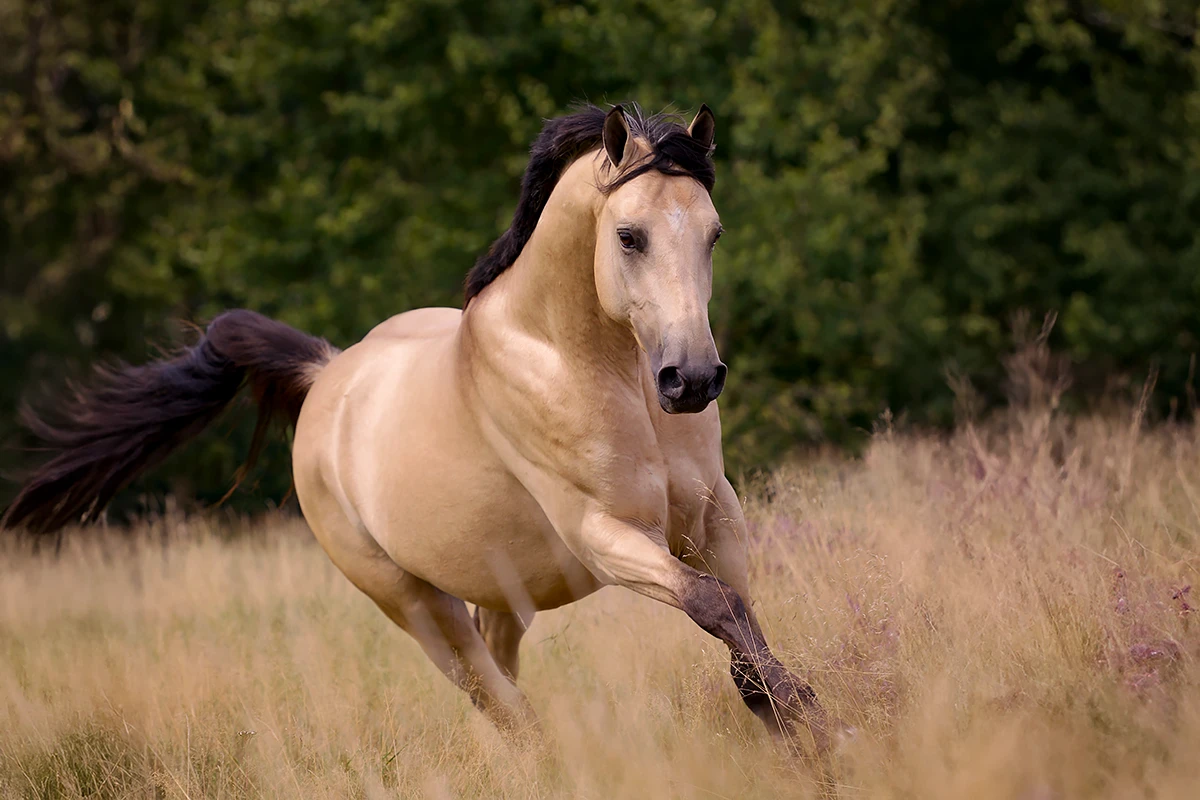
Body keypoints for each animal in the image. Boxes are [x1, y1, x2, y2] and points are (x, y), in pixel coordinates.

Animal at [2, 103, 825, 748]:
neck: (596, 368)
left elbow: (736, 617)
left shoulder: (716, 519)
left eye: (713, 234)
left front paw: (787, 719)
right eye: (629, 235)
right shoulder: (606, 535)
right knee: (502, 706)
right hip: (417, 607)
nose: (692, 379)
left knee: (506, 682)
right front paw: (813, 722)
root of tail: (327, 374)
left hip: (503, 595)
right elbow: (716, 606)